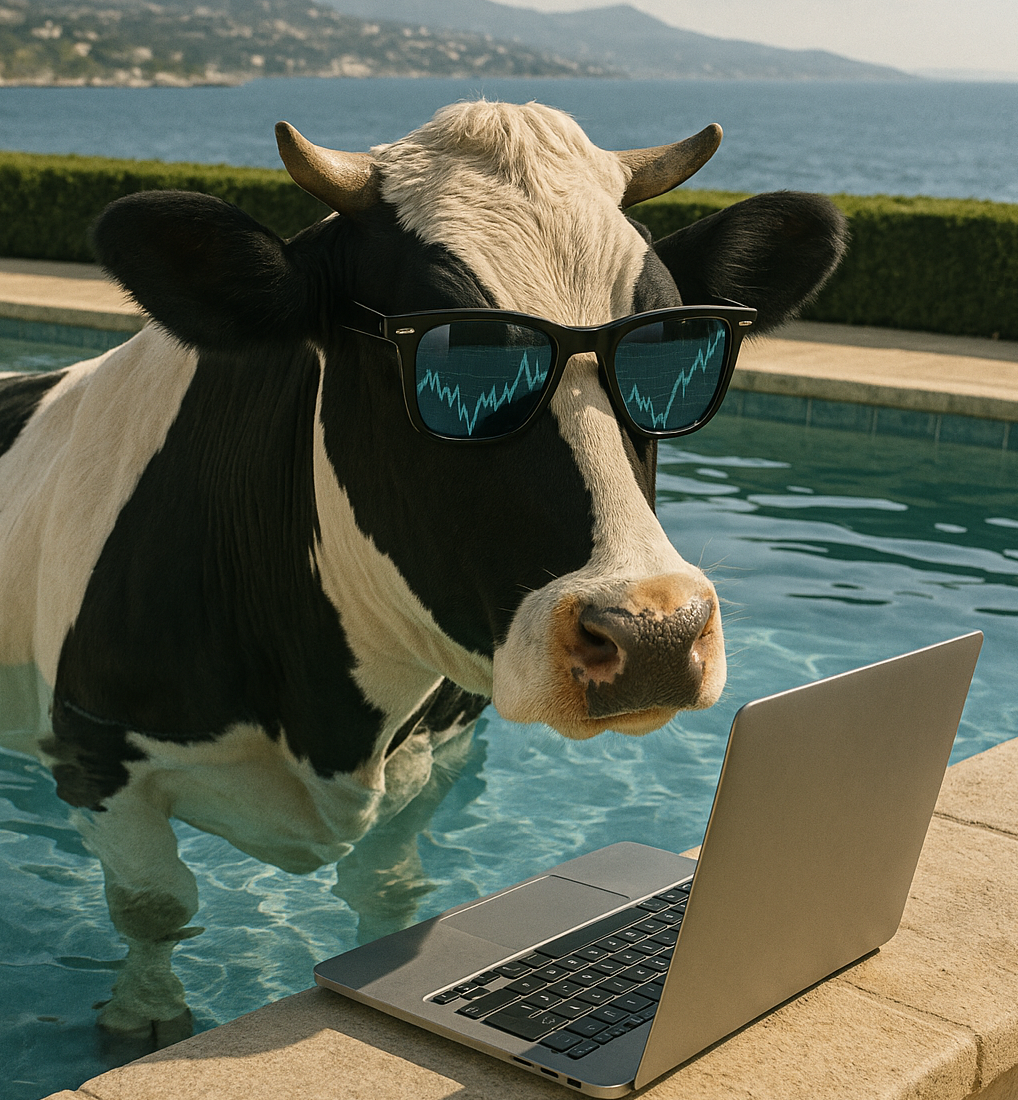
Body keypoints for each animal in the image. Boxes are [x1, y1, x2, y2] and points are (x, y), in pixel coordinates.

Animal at [0, 100, 846, 1044]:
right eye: (460, 360)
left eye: (679, 347)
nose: (657, 631)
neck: (327, 725)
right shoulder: (97, 751)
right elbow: (155, 905)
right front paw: (144, 1016)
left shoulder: (435, 755)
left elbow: (388, 887)